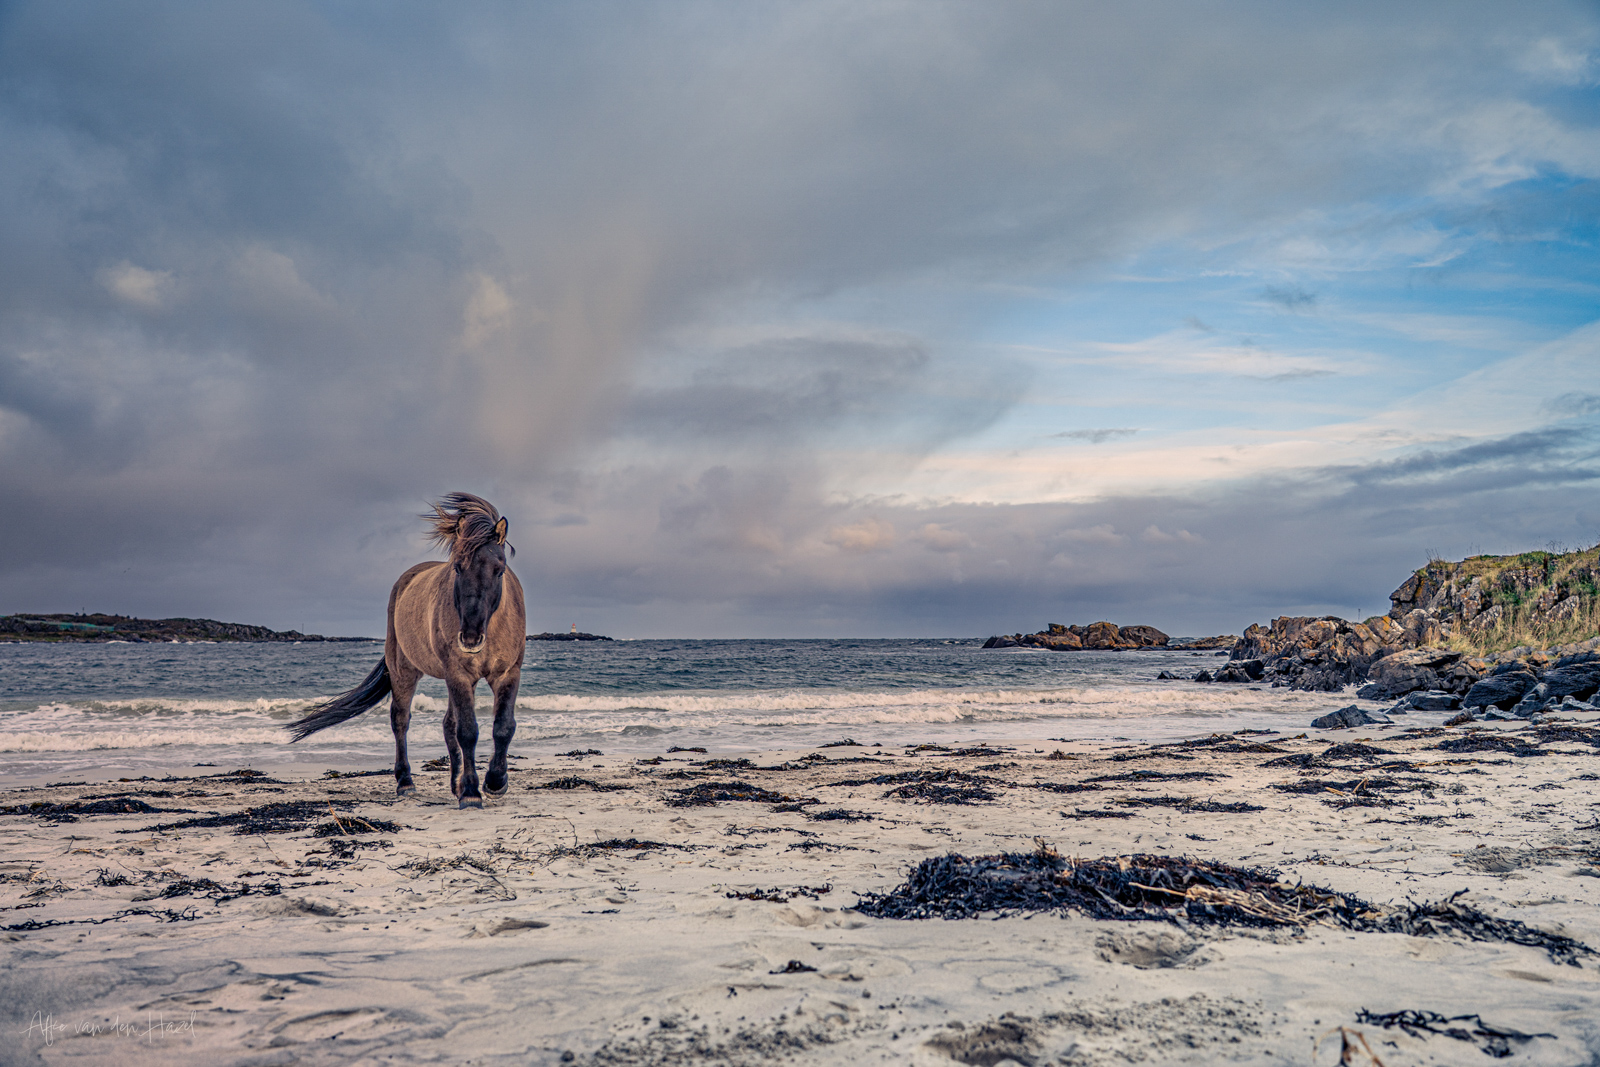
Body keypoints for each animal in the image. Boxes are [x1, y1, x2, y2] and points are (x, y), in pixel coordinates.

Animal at [286, 493, 526, 808]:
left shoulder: (507, 673)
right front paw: (473, 792)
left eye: (499, 570)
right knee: (401, 721)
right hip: (404, 672)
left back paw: (454, 784)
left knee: (447, 724)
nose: (471, 638)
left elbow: (502, 726)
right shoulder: (458, 674)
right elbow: (467, 731)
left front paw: (495, 783)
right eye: (457, 567)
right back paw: (406, 783)